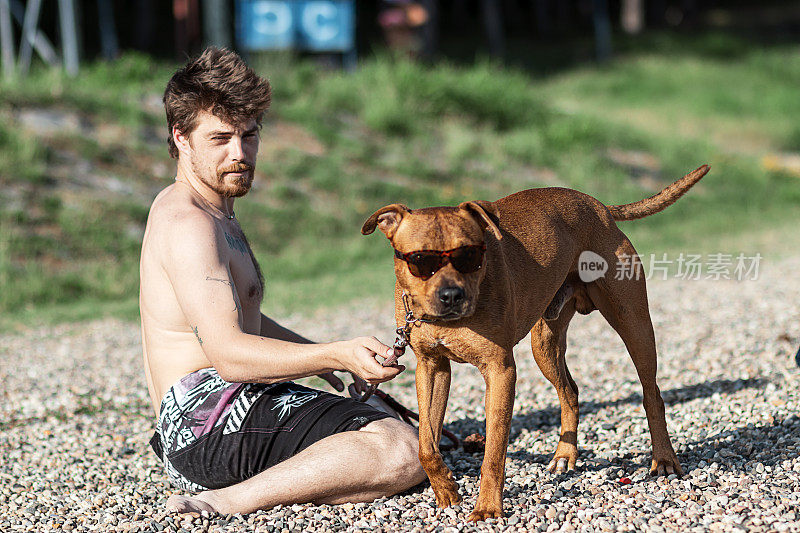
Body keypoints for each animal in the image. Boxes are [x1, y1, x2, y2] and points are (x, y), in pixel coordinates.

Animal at [360, 163, 708, 520]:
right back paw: (565, 455)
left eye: (470, 255)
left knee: (652, 394)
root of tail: (598, 207)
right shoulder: (432, 368)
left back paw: (664, 459)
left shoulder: (500, 371)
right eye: (420, 260)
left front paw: (487, 508)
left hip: (634, 324)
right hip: (545, 345)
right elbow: (425, 444)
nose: (452, 295)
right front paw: (445, 490)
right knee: (570, 391)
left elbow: (493, 451)